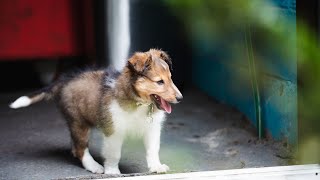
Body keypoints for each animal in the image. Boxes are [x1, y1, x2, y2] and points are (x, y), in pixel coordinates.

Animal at [9, 48, 182, 174]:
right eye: (159, 82)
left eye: (170, 78)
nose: (180, 98)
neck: (139, 104)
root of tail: (64, 80)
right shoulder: (114, 129)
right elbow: (114, 153)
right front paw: (112, 172)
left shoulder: (152, 129)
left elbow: (153, 150)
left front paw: (156, 167)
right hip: (78, 122)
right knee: (81, 149)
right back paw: (94, 166)